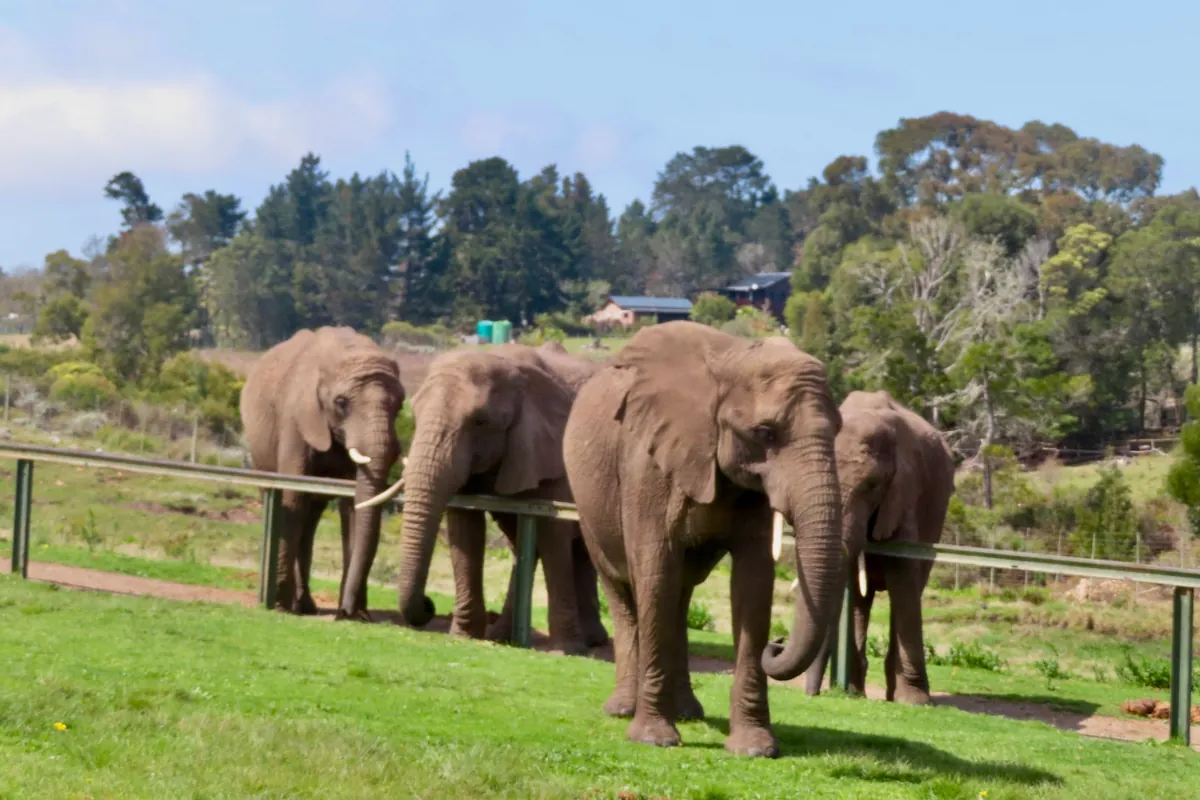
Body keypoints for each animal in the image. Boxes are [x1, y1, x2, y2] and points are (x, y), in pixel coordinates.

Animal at [240, 326, 405, 621]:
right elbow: (292, 497)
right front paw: (280, 606)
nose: (346, 612)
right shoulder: (296, 417)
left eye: (400, 406)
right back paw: (296, 606)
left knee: (311, 520)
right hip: (258, 452)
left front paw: (355, 614)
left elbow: (352, 506)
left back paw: (305, 605)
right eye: (341, 403)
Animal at [357, 341, 610, 655]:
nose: (429, 605)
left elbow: (553, 533)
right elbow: (465, 527)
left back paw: (589, 641)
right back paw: (506, 636)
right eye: (414, 414)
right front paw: (463, 635)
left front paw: (565, 650)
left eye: (479, 422)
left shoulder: (554, 451)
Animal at [561, 321, 846, 758]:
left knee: (679, 595)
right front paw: (654, 740)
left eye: (838, 431)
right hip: (588, 505)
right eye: (765, 433)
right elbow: (655, 570)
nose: (778, 643)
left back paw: (688, 712)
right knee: (625, 590)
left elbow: (753, 584)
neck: (732, 360)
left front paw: (754, 748)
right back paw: (624, 710)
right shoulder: (647, 463)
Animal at [801, 390, 955, 704]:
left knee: (909, 591)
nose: (811, 695)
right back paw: (855, 690)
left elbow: (903, 576)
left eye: (872, 486)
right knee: (862, 601)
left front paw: (916, 703)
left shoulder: (904, 493)